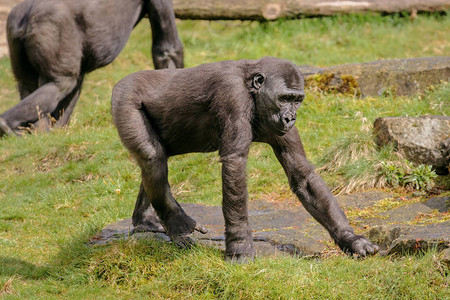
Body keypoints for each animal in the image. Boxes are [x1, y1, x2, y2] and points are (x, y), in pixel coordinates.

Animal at [0, 0, 183, 137]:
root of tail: (25, 16)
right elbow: (167, 50)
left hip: (13, 29)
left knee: (30, 85)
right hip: (52, 26)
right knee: (61, 84)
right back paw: (8, 126)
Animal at [110, 56, 378, 262]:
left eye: (297, 100)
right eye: (284, 98)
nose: (291, 117)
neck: (252, 89)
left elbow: (303, 175)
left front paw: (351, 239)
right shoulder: (232, 95)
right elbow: (235, 164)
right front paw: (239, 246)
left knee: (155, 162)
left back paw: (145, 220)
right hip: (125, 98)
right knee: (152, 157)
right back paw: (176, 225)